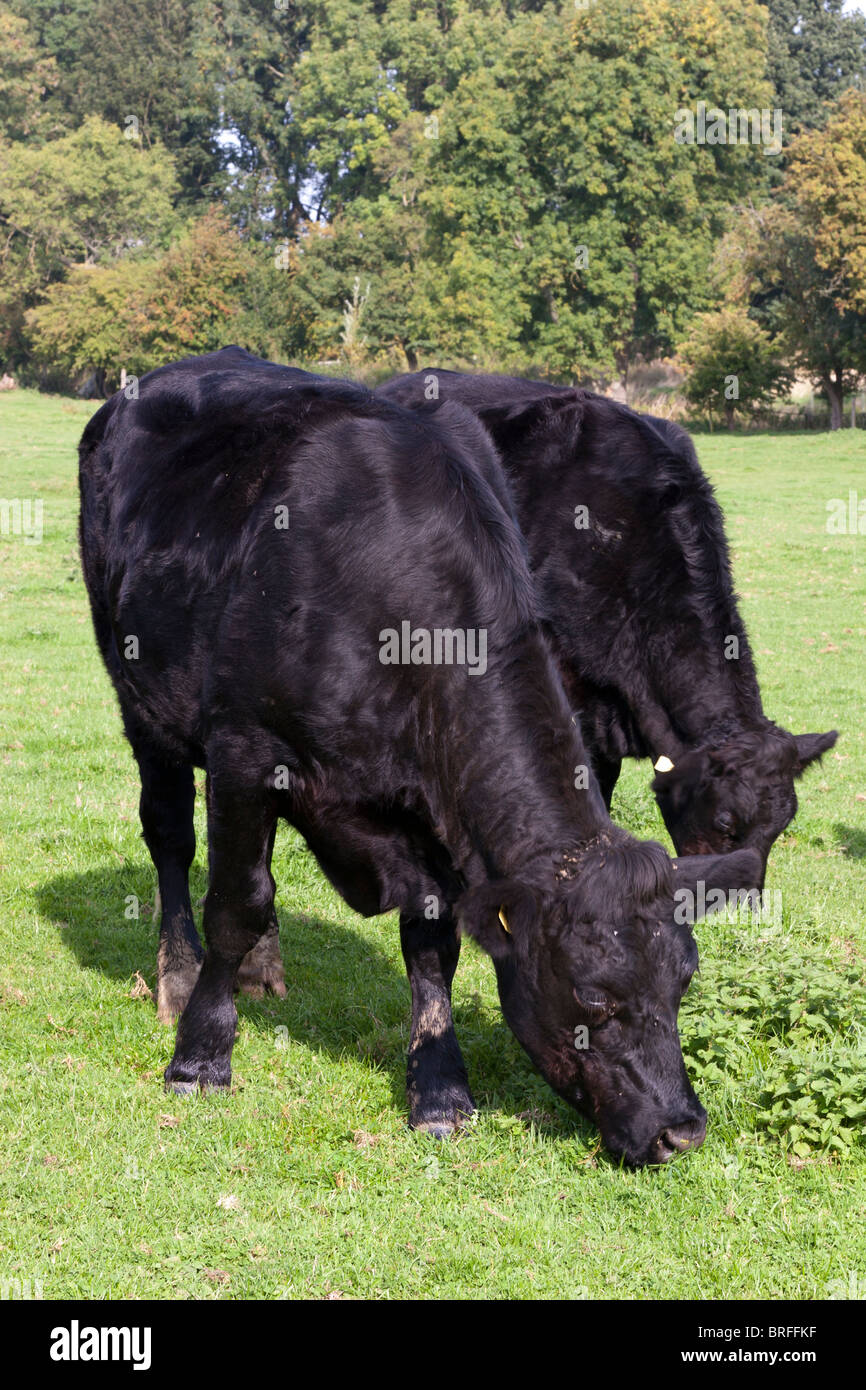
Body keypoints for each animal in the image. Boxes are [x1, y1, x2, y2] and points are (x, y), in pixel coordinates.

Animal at [77, 344, 761, 1162]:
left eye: (684, 980)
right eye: (595, 996)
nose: (680, 1130)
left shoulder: (435, 807)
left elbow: (431, 941)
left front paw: (438, 1088)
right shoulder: (245, 749)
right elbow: (236, 902)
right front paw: (200, 1056)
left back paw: (265, 969)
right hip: (141, 701)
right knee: (174, 841)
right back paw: (179, 975)